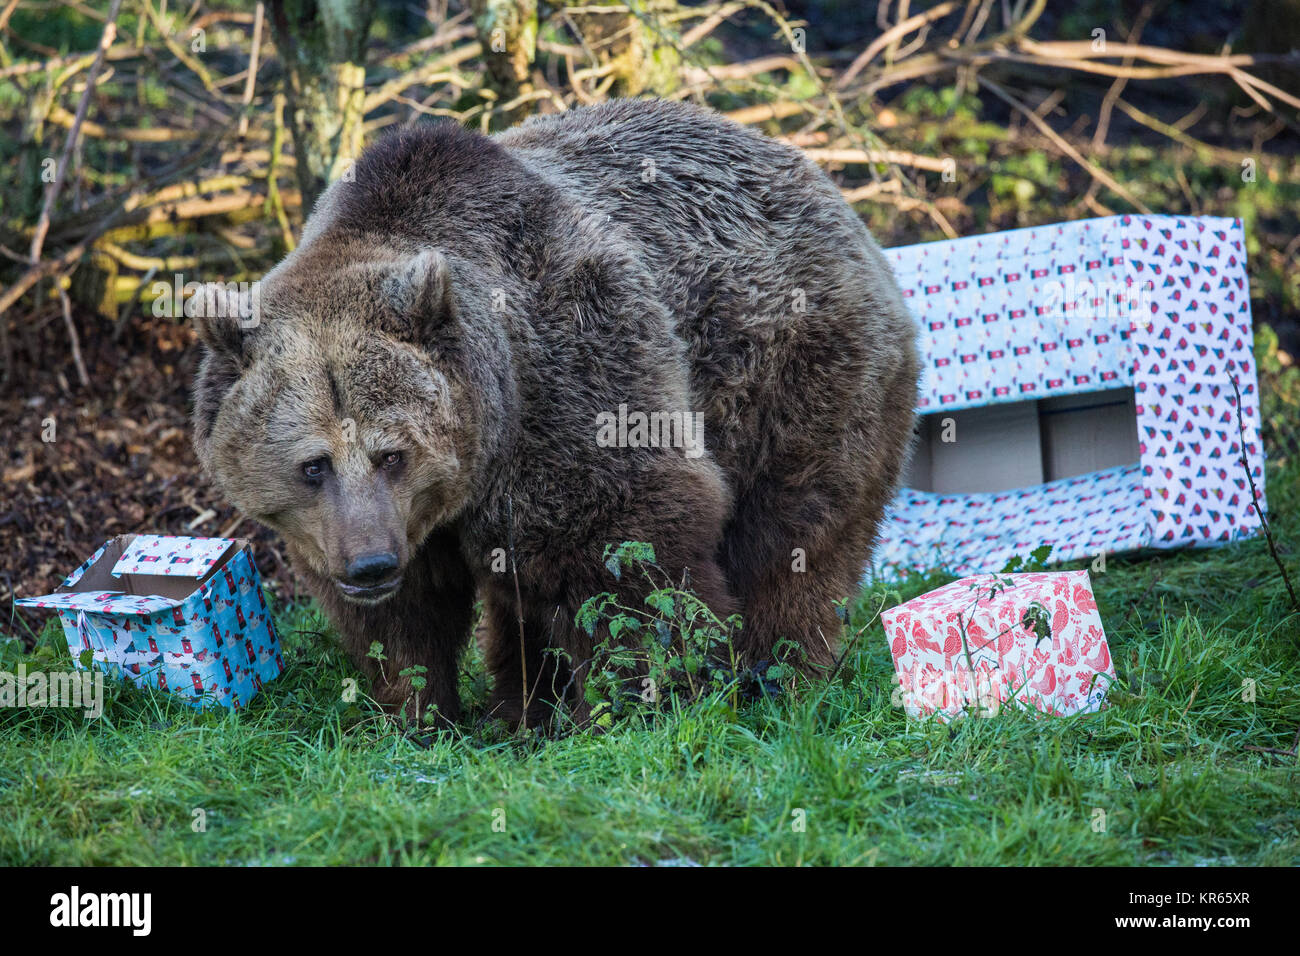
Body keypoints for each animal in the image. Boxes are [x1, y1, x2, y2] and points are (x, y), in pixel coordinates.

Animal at [195, 95, 925, 723]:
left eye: (391, 453)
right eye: (312, 464)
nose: (369, 564)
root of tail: (819, 179)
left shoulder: (573, 377)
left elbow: (625, 555)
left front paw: (649, 700)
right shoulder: (361, 526)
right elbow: (407, 619)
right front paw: (415, 708)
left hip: (791, 376)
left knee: (793, 534)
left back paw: (779, 675)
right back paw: (522, 709)